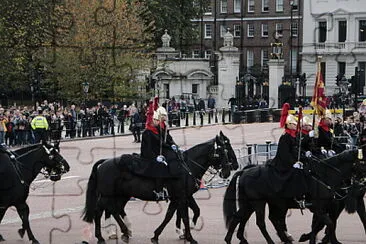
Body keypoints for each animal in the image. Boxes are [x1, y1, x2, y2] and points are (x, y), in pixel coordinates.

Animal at [82, 133, 233, 244]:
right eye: (224, 150)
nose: (227, 171)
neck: (186, 166)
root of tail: (104, 163)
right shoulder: (182, 197)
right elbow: (184, 216)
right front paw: (190, 237)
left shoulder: (180, 197)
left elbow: (172, 214)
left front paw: (157, 235)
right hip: (108, 194)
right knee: (103, 210)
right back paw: (110, 234)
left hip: (121, 194)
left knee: (110, 209)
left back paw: (119, 233)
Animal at [224, 150, 364, 244]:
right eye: (363, 161)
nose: (362, 186)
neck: (324, 176)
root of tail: (245, 171)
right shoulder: (319, 208)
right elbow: (328, 223)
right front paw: (322, 239)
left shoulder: (324, 208)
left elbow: (321, 224)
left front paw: (312, 239)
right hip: (259, 203)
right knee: (261, 222)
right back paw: (273, 240)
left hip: (250, 203)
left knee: (239, 217)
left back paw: (232, 239)